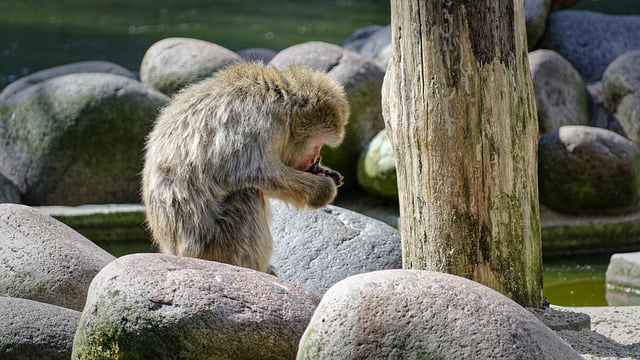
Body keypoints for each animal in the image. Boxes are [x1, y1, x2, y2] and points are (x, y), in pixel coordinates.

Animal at [142, 62, 350, 272]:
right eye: (318, 142)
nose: (314, 157)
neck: (282, 104)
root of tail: (176, 251)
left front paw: (323, 172)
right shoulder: (259, 120)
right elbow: (253, 172)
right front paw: (323, 189)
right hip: (214, 244)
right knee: (246, 193)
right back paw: (255, 268)